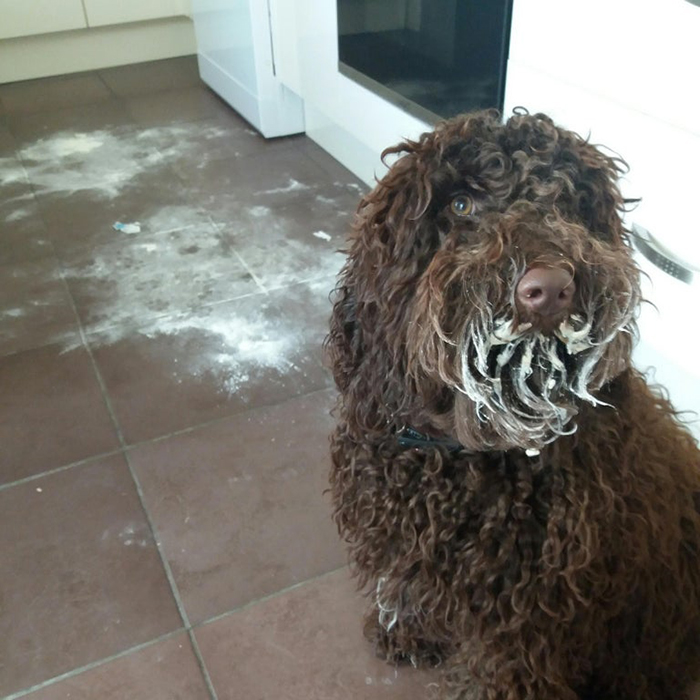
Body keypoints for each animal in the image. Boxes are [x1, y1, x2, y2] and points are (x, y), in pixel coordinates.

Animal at [326, 110, 700, 700]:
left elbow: (505, 667)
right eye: (459, 205)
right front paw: (408, 631)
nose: (549, 291)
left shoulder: (528, 613)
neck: (459, 455)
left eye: (568, 202)